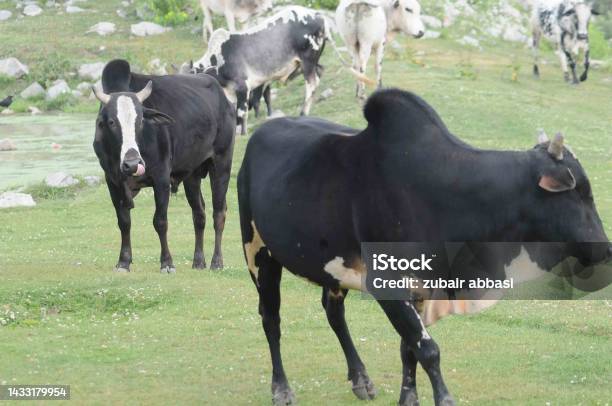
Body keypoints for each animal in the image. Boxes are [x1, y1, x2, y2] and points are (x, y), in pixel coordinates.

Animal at [94, 59, 237, 272]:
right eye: (111, 122)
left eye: (141, 121)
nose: (132, 163)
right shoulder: (112, 181)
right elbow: (124, 221)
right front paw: (124, 261)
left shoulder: (161, 178)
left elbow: (160, 221)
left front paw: (167, 263)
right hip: (192, 175)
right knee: (199, 214)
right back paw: (198, 261)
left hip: (221, 163)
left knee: (219, 212)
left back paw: (216, 262)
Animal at [186, 5, 332, 135]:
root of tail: (318, 15)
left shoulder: (243, 87)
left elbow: (241, 112)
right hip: (310, 63)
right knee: (319, 73)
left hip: (308, 62)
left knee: (312, 84)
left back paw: (303, 113)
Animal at [238, 89, 612, 406]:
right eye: (582, 192)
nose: (605, 250)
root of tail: (261, 133)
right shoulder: (388, 285)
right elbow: (427, 349)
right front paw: (443, 399)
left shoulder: (422, 288)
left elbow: (409, 349)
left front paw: (408, 399)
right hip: (257, 251)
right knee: (270, 317)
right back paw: (281, 388)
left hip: (332, 267)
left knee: (334, 313)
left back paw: (360, 378)